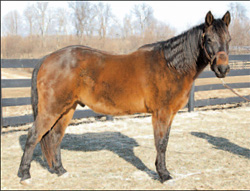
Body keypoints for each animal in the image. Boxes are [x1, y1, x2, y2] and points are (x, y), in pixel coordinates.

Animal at [18, 11, 231, 184]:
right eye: (209, 39)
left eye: (228, 39)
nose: (223, 69)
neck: (171, 66)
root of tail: (47, 59)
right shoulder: (161, 113)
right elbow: (161, 143)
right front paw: (164, 175)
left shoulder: (169, 114)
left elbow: (165, 142)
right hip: (52, 109)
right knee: (34, 135)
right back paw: (25, 175)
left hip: (67, 109)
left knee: (54, 137)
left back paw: (60, 170)